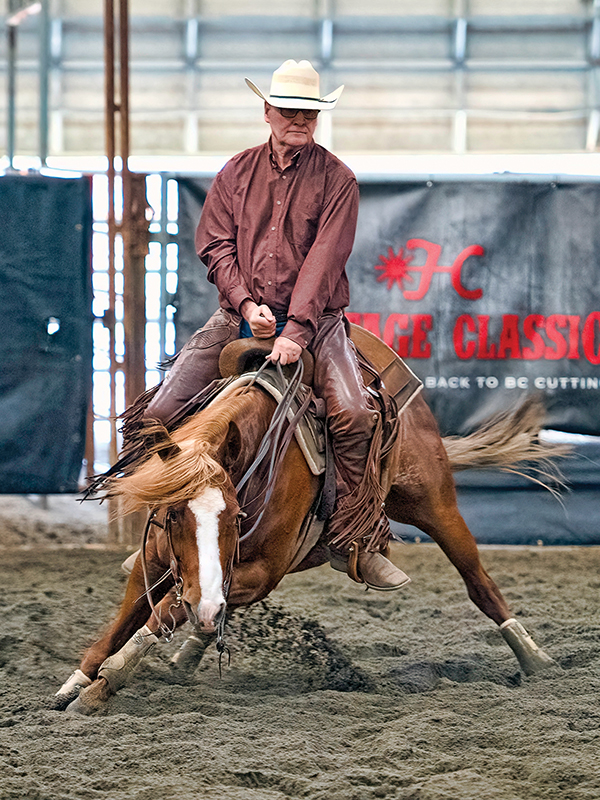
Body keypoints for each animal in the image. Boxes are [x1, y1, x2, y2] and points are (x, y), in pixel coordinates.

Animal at [55, 350, 563, 714]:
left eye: (235, 516)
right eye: (174, 515)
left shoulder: (261, 573)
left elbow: (161, 616)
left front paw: (104, 686)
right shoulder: (157, 560)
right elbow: (123, 622)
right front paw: (75, 684)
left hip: (435, 504)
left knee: (479, 582)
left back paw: (536, 659)